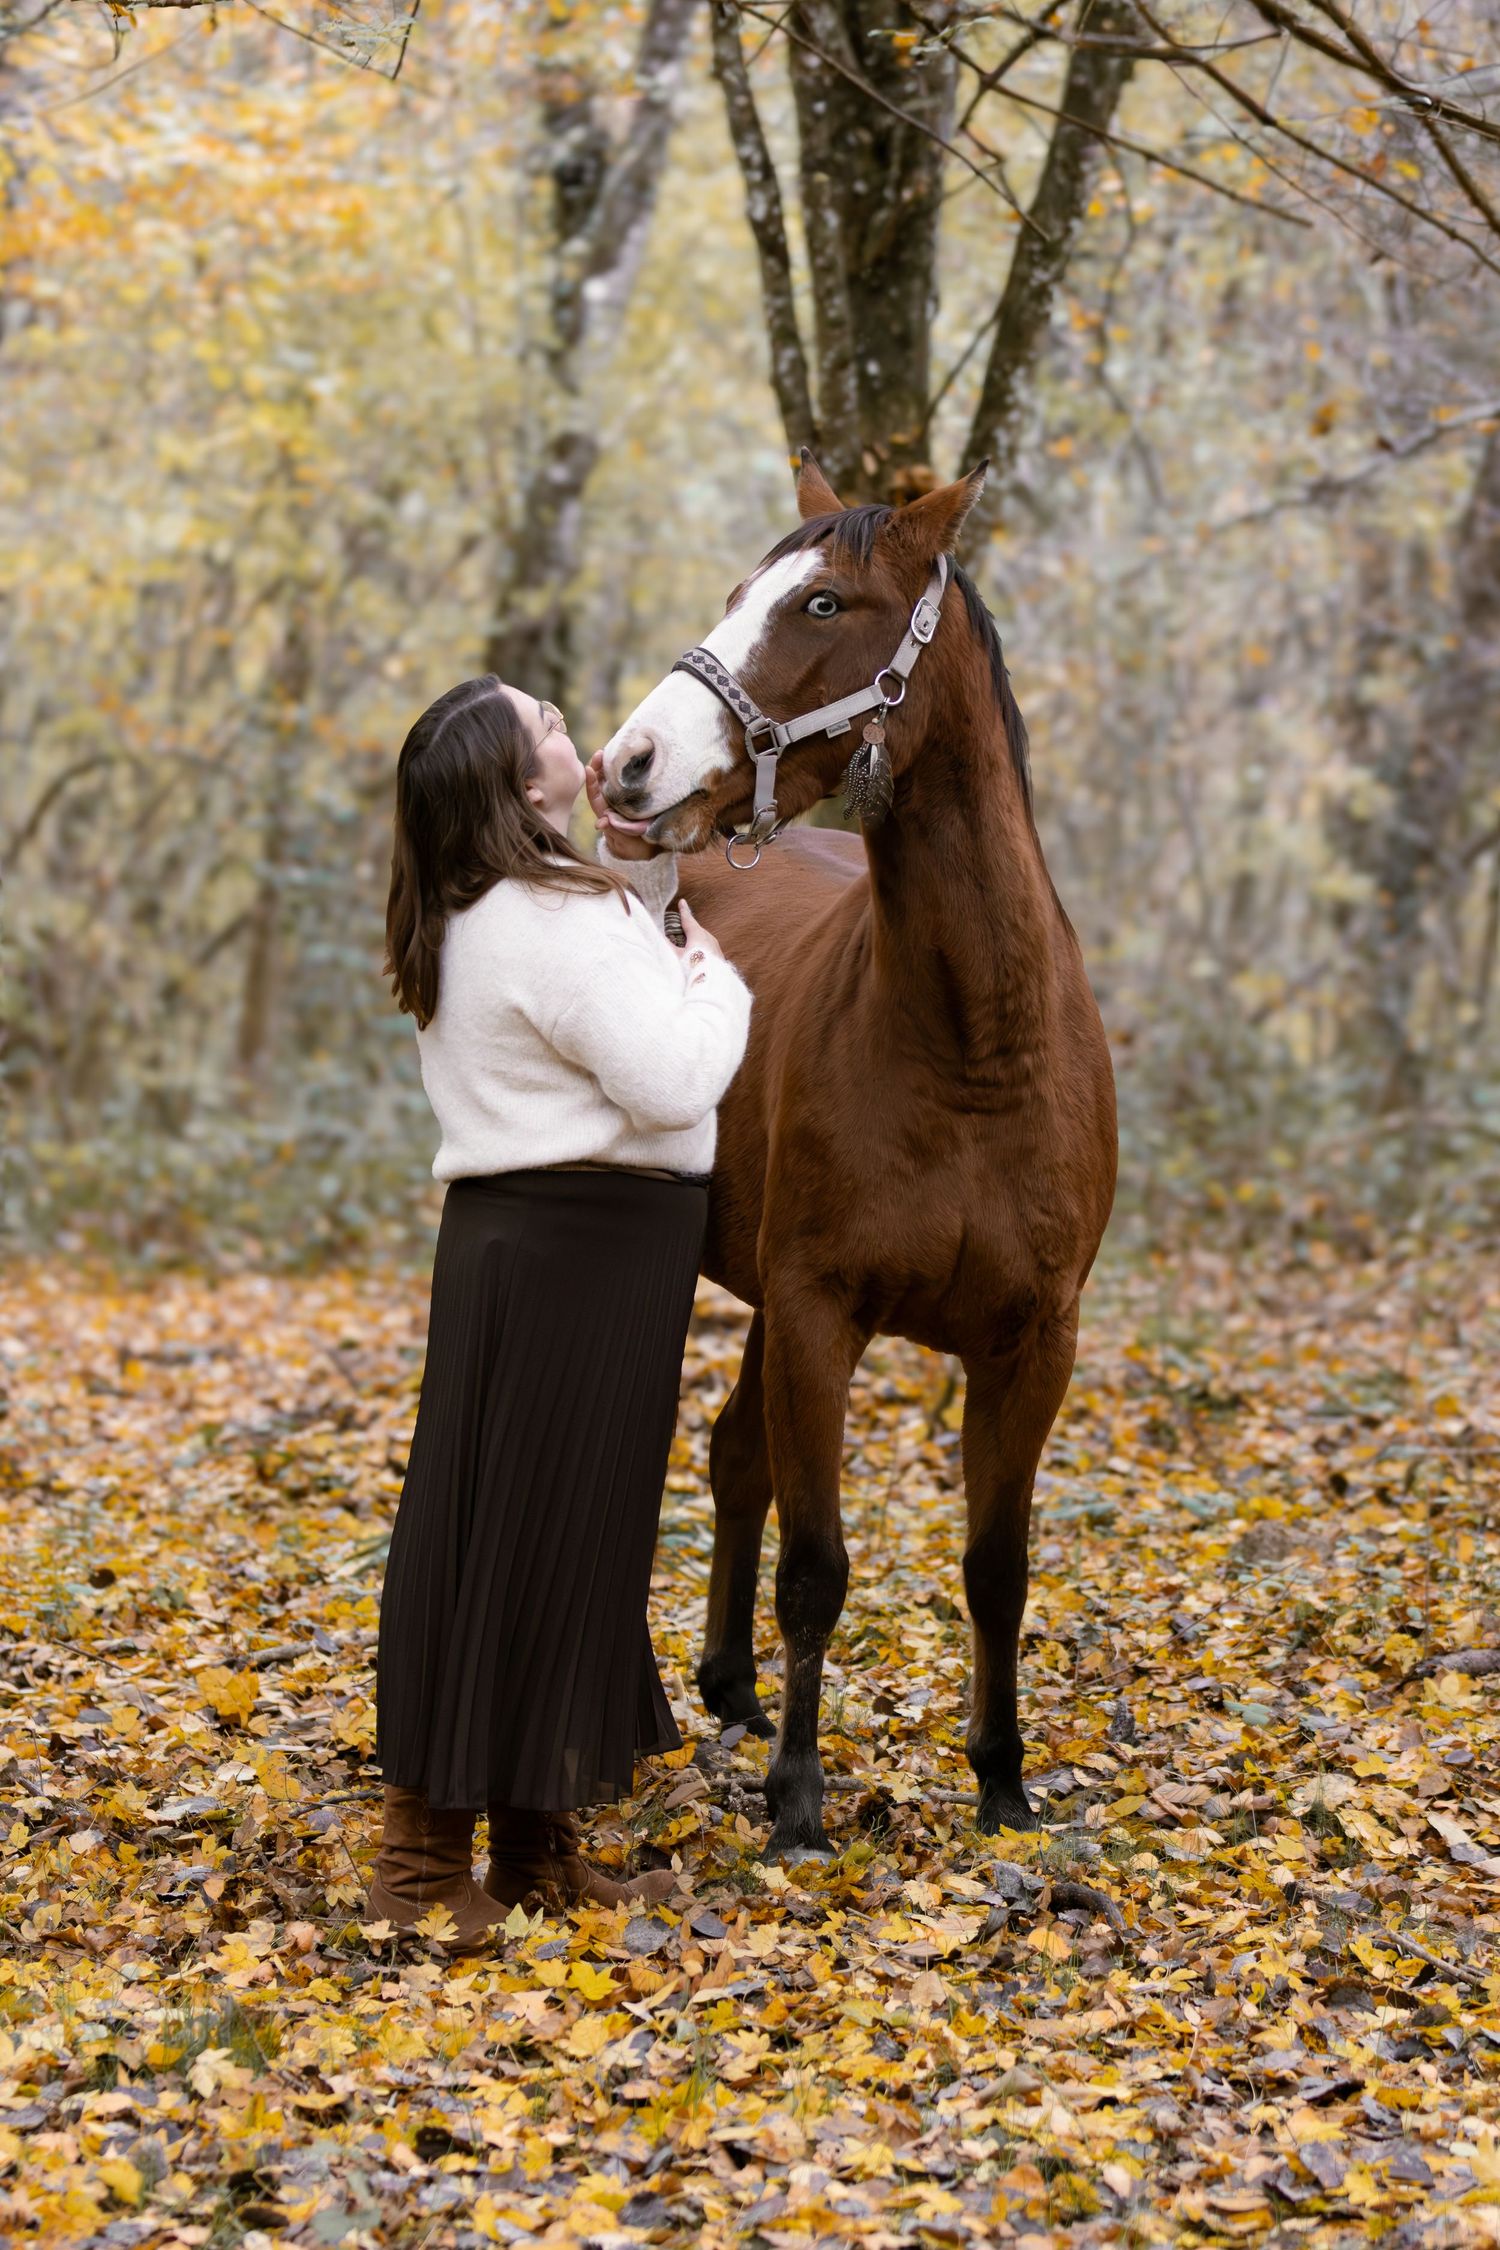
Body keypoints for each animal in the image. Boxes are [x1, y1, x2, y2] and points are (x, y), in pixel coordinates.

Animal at [600, 453, 1117, 1858]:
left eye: (822, 603)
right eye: (739, 592)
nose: (627, 762)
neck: (974, 1047)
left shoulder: (1035, 1341)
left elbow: (998, 1568)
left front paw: (1002, 1782)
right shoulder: (823, 1310)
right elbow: (817, 1564)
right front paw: (798, 1802)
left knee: (736, 1457)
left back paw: (729, 1687)